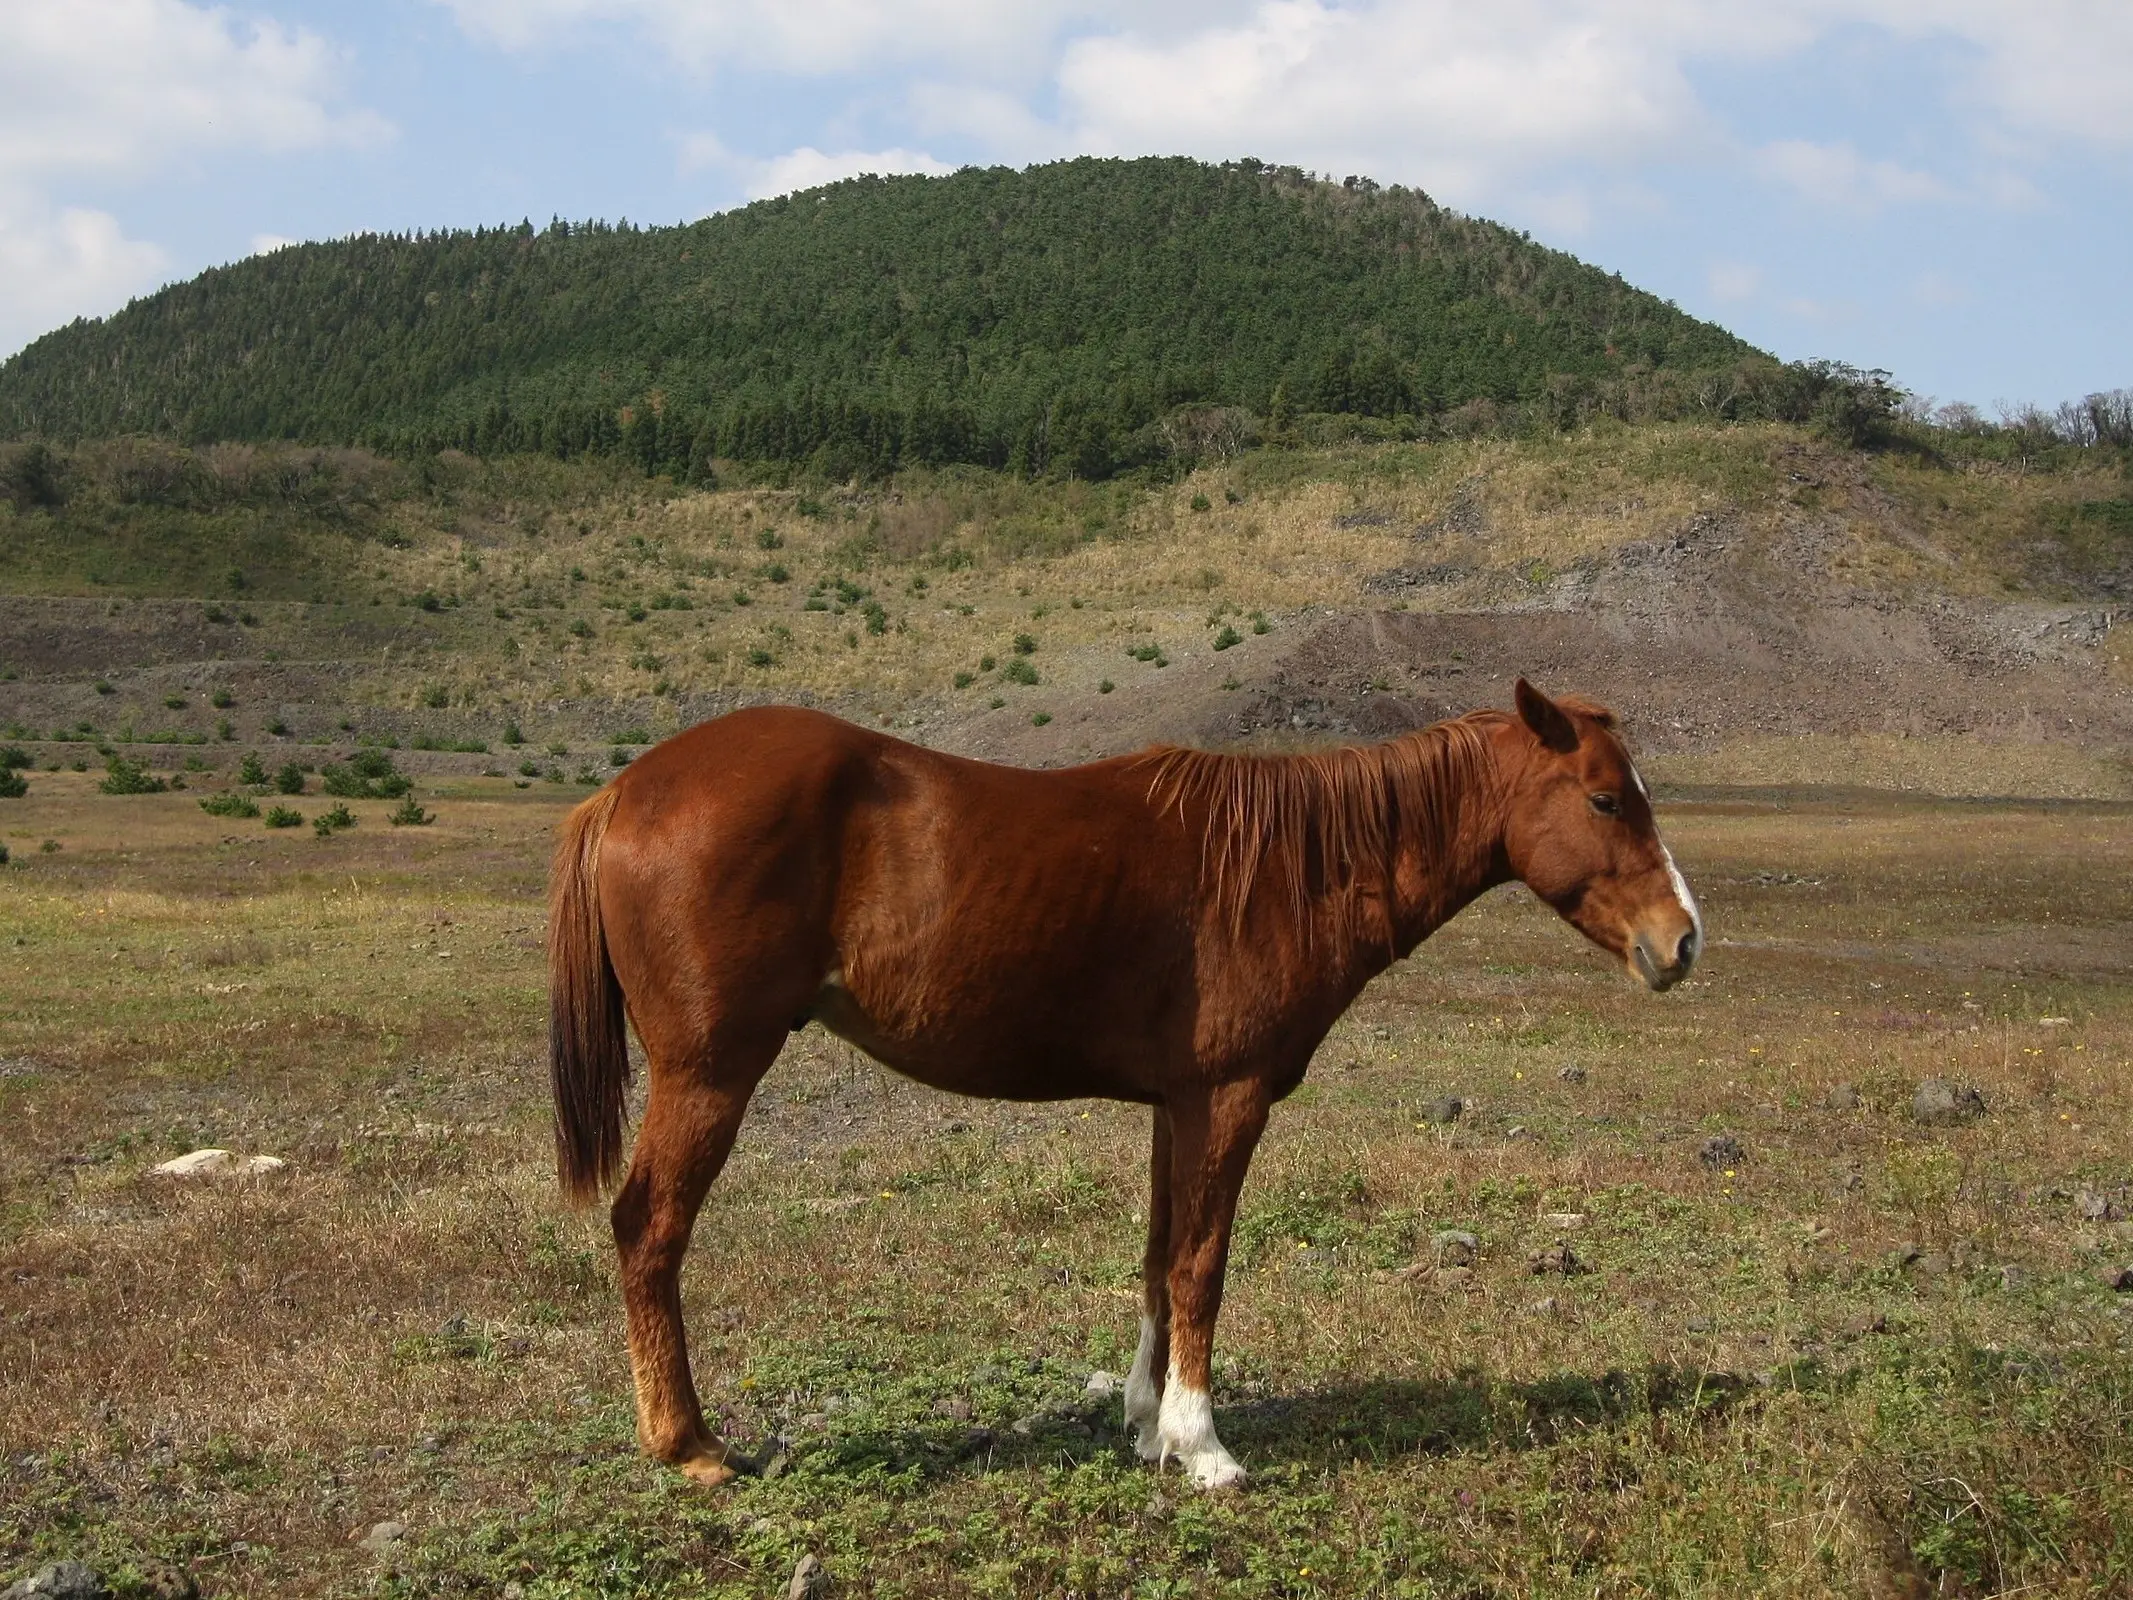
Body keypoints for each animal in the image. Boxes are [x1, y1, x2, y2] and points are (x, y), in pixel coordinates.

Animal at [546, 682, 1697, 1501]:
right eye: (1603, 797)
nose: (1681, 942)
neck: (1286, 867)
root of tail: (624, 791)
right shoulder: (1228, 1099)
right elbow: (1202, 1266)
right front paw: (1204, 1443)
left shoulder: (1171, 1105)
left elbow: (1155, 1258)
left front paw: (1147, 1425)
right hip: (709, 1075)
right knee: (649, 1228)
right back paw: (689, 1443)